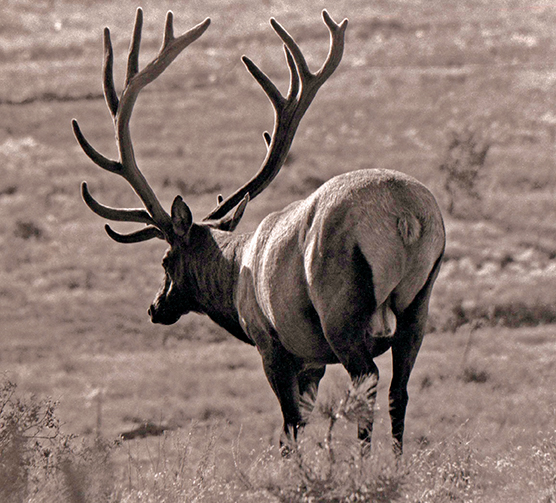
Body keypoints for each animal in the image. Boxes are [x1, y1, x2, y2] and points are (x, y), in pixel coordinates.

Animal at [73, 7, 448, 456]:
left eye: (165, 260)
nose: (154, 307)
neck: (236, 278)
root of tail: (406, 218)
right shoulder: (313, 360)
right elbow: (302, 418)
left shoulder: (272, 343)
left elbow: (290, 428)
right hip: (418, 306)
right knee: (399, 391)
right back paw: (395, 463)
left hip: (340, 312)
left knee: (368, 382)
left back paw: (363, 463)